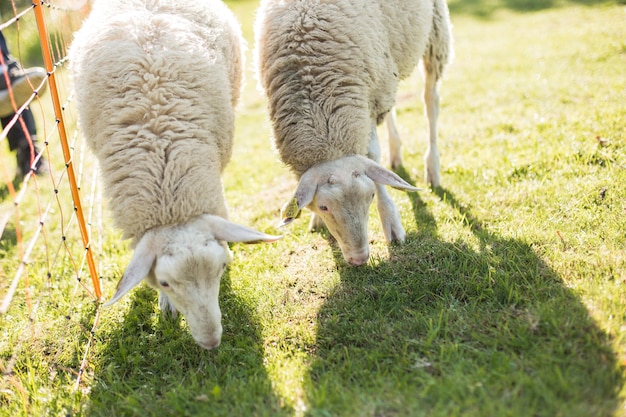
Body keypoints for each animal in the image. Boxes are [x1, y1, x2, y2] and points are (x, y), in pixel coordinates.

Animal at [254, 0, 454, 264]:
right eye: (324, 207)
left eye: (370, 197)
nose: (359, 258)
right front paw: (315, 220)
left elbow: (372, 157)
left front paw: (391, 223)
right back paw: (396, 152)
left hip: (434, 33)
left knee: (430, 99)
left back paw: (432, 168)